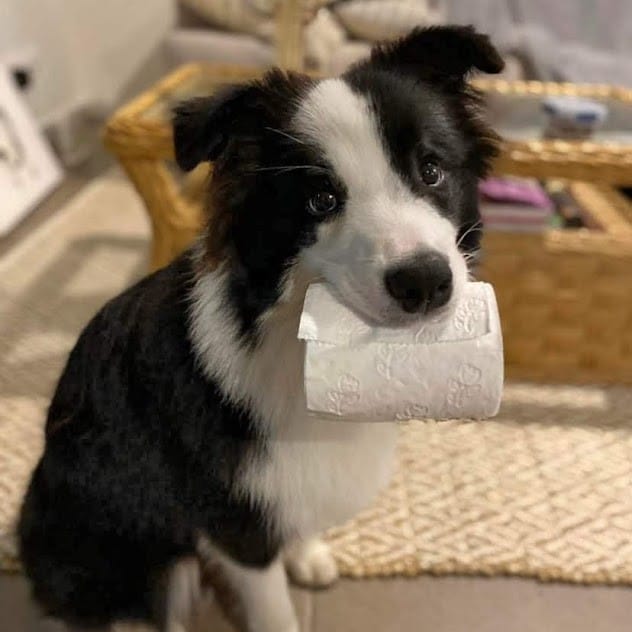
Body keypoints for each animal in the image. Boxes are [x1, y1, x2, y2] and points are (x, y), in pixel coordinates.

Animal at [17, 24, 504, 632]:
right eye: (321, 199)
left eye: (431, 170)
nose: (425, 282)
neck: (282, 331)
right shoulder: (235, 523)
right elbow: (272, 609)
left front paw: (307, 554)